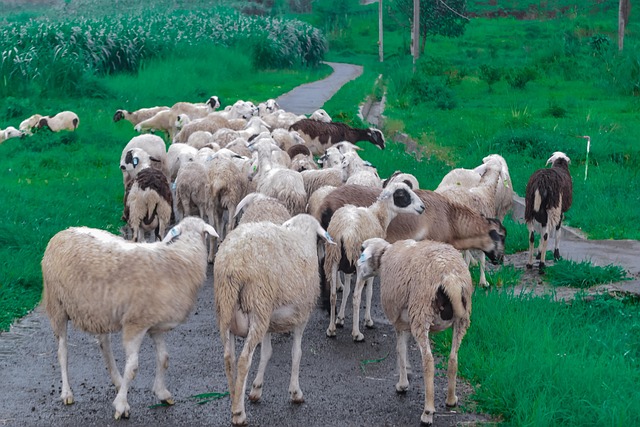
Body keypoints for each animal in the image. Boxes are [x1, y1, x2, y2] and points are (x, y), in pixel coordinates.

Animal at [41, 216, 218, 420]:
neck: (183, 257)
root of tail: (61, 233)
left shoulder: (155, 325)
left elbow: (164, 358)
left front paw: (162, 393)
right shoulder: (136, 323)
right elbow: (133, 367)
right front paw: (121, 405)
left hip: (100, 312)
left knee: (104, 345)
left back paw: (117, 380)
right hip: (57, 306)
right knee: (63, 352)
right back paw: (67, 393)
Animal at [213, 214, 334, 426]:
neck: (302, 234)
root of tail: (232, 263)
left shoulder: (268, 322)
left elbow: (267, 352)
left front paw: (256, 390)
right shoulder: (301, 318)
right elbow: (297, 353)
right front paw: (295, 392)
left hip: (228, 309)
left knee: (229, 358)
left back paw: (234, 398)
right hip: (257, 304)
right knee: (243, 360)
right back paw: (239, 413)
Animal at [324, 182, 426, 342]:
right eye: (402, 194)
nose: (422, 207)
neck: (378, 216)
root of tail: (346, 233)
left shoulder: (348, 266)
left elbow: (346, 290)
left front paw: (340, 319)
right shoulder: (369, 266)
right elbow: (370, 292)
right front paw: (368, 321)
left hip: (333, 258)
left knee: (333, 295)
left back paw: (331, 329)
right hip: (358, 262)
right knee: (356, 297)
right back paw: (357, 333)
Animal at [357, 237, 472, 427]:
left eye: (362, 250)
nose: (357, 270)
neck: (385, 255)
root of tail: (450, 276)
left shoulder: (398, 320)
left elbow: (400, 350)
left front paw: (402, 384)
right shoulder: (406, 321)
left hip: (421, 310)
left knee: (428, 362)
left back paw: (427, 412)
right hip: (461, 318)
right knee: (453, 358)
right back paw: (450, 399)